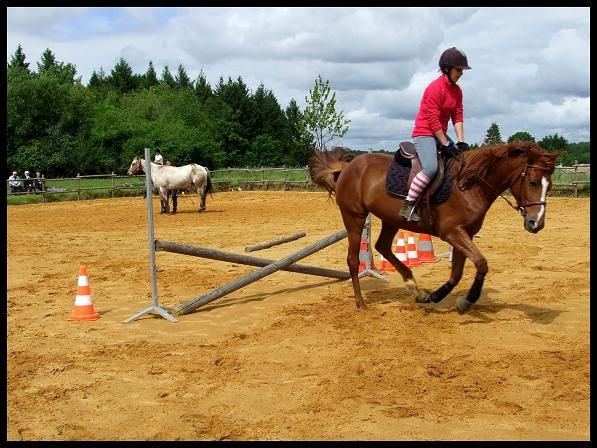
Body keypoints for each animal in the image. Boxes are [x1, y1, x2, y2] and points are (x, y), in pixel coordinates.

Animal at [308, 141, 560, 313]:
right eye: (533, 182)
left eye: (549, 185)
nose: (536, 223)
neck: (470, 185)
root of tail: (348, 167)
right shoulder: (452, 232)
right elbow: (481, 263)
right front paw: (466, 300)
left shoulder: (464, 235)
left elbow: (457, 273)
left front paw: (435, 297)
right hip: (355, 217)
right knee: (353, 260)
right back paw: (361, 302)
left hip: (391, 219)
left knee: (383, 247)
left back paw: (415, 288)